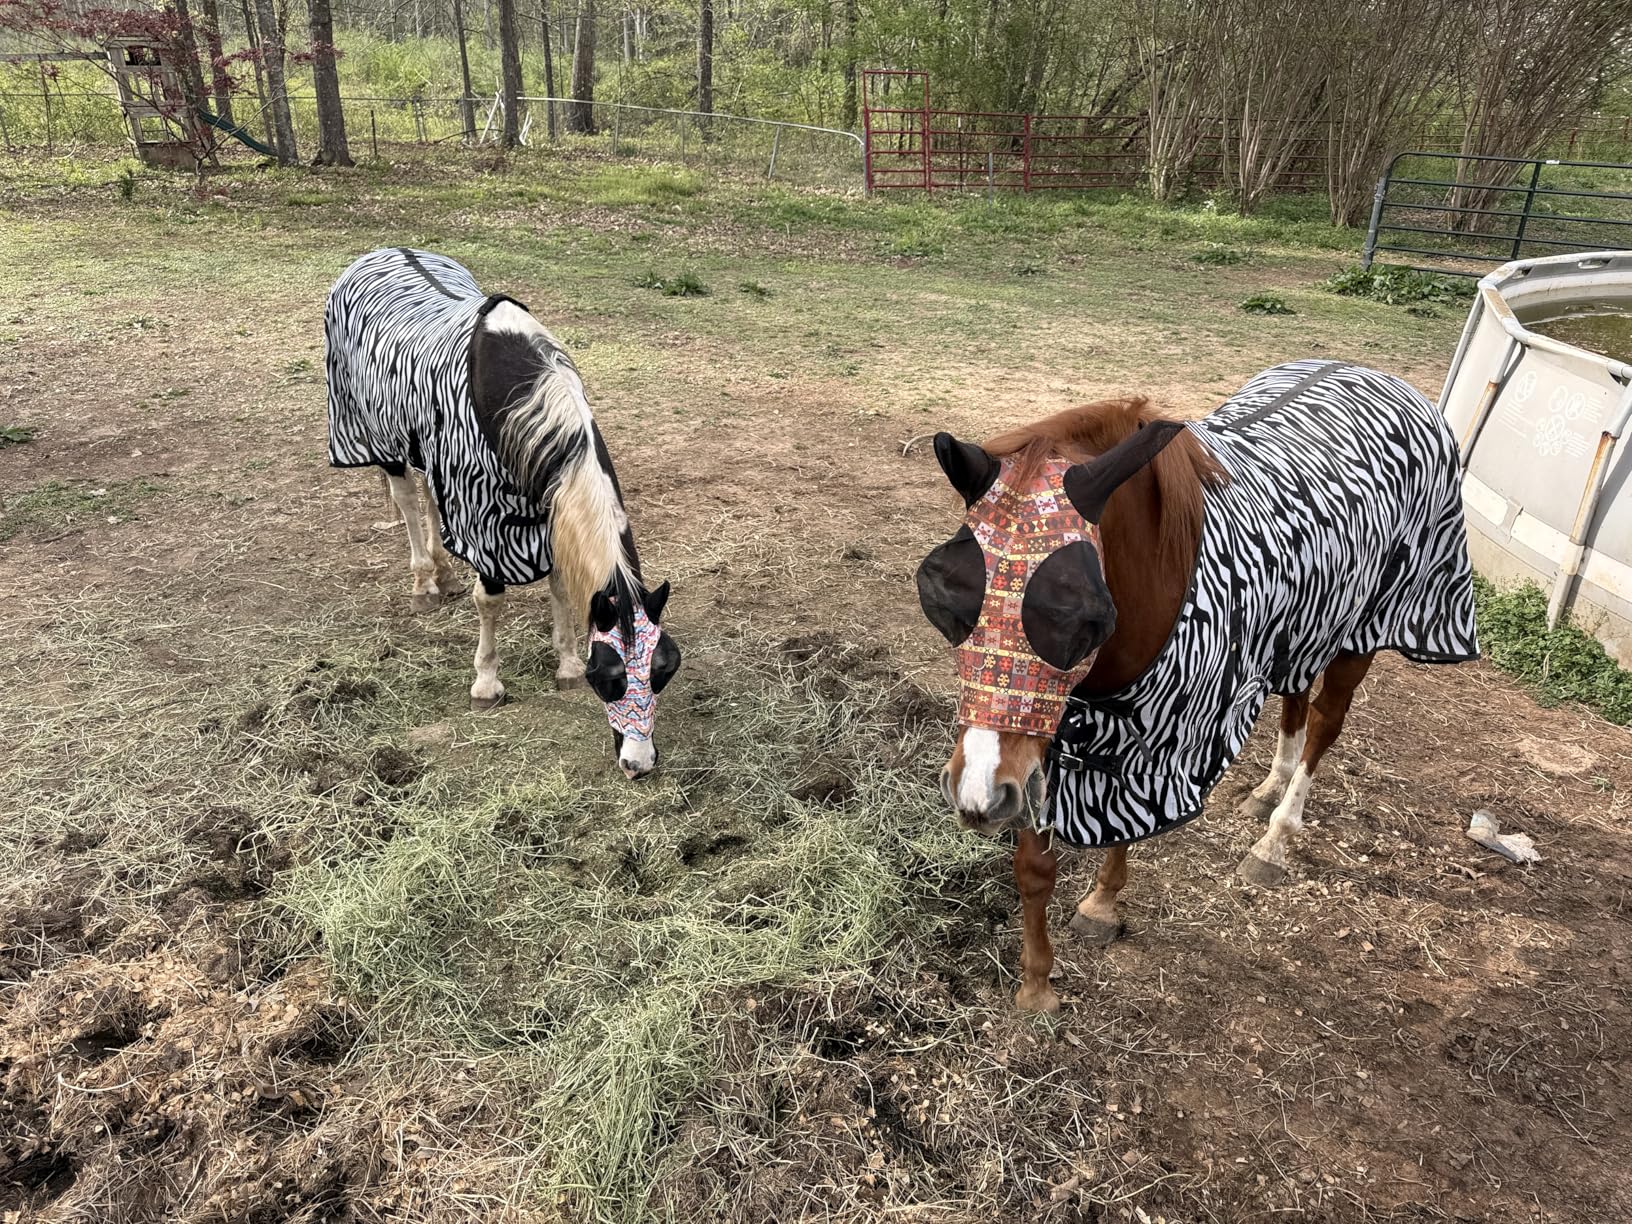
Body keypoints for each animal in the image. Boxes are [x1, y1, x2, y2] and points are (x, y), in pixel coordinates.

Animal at [324, 247, 681, 779]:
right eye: (607, 675)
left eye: (663, 669)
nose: (638, 764)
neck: (518, 391)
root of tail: (378, 254)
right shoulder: (483, 516)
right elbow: (490, 600)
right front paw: (487, 683)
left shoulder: (546, 512)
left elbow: (560, 586)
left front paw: (565, 664)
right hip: (379, 437)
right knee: (408, 500)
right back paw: (424, 583)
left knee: (429, 494)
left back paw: (444, 573)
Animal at [915, 360, 1480, 1012]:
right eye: (945, 597)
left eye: (1083, 616)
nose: (978, 793)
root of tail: (1382, 378)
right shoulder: (1049, 730)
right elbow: (1036, 864)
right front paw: (1037, 981)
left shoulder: (1151, 733)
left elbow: (1128, 816)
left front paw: (1100, 905)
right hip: (1307, 621)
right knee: (1295, 696)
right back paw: (1268, 788)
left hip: (1366, 625)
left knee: (1325, 722)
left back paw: (1275, 837)